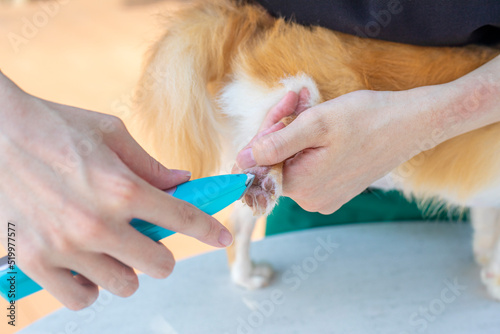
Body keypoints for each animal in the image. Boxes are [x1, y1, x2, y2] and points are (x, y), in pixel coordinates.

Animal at [130, 0, 500, 298]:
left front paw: (485, 263)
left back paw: (247, 275)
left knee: (236, 224)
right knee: (283, 128)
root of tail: (252, 23)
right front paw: (494, 282)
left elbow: (485, 231)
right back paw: (266, 179)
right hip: (298, 95)